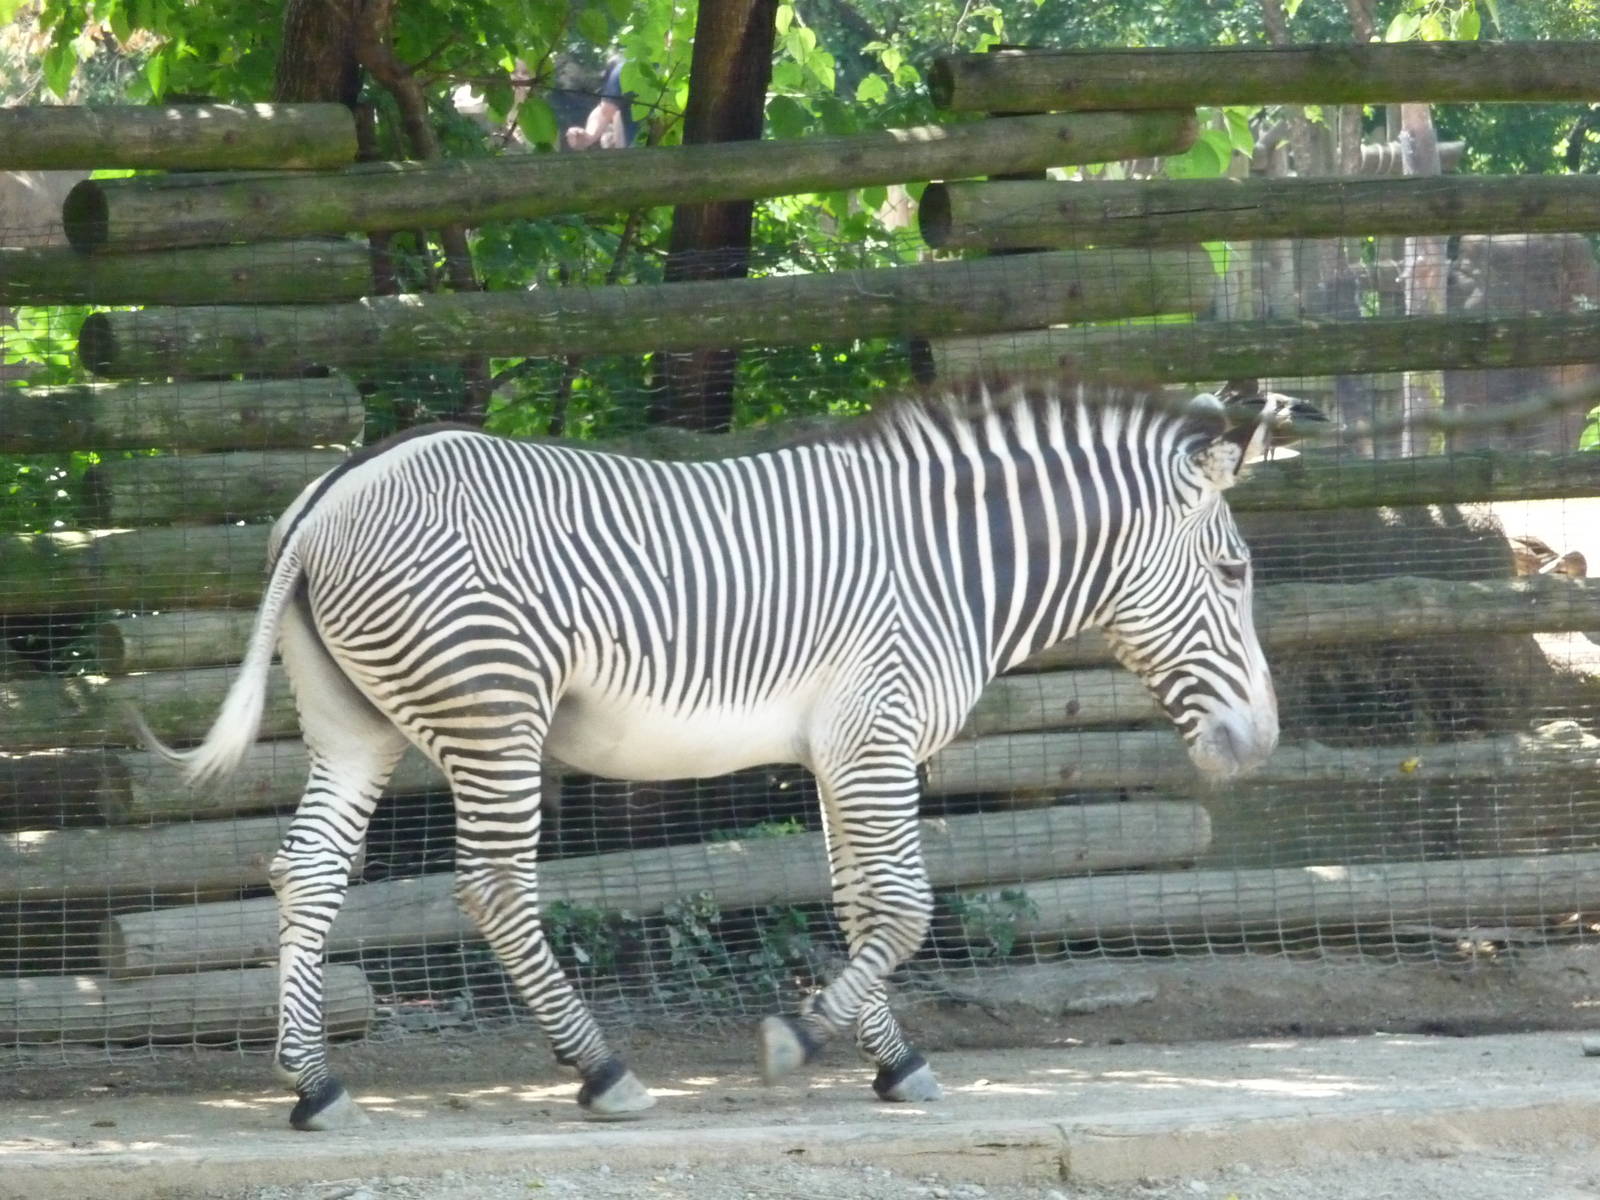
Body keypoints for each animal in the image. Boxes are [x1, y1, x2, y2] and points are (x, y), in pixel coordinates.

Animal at [139, 376, 1279, 1131]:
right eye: (1233, 573)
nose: (1260, 744)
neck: (950, 565)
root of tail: (335, 487)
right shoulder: (878, 734)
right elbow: (906, 910)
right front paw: (799, 1040)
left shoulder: (841, 751)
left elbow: (861, 906)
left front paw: (891, 1059)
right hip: (494, 709)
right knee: (493, 887)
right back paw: (601, 1072)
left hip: (356, 723)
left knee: (306, 871)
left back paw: (314, 1082)